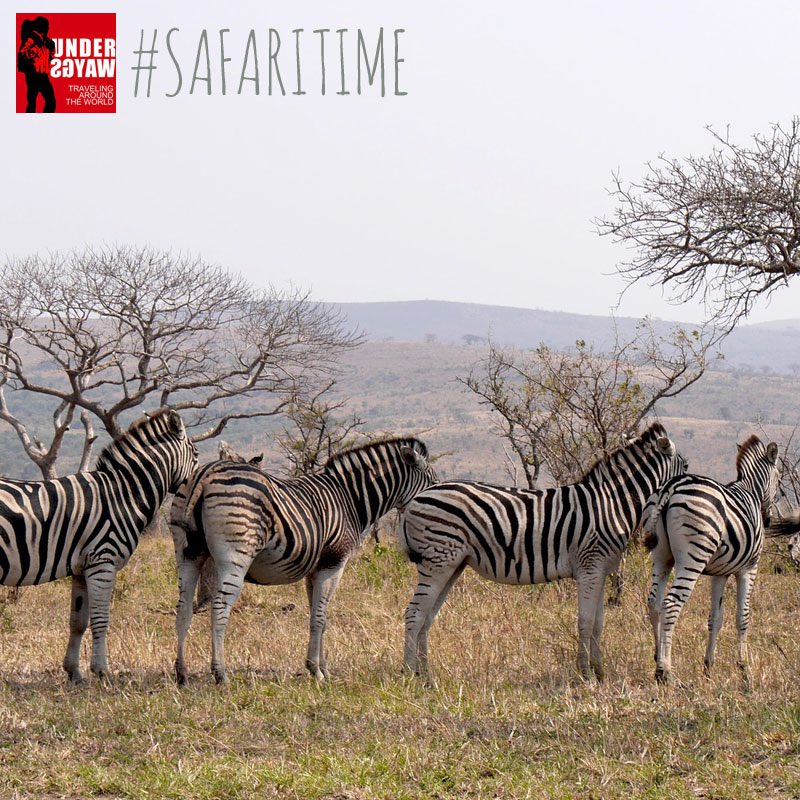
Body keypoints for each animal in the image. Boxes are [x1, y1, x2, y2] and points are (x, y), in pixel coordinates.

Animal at [0, 409, 197, 683]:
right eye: (196, 455)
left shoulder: (82, 569)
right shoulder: (103, 561)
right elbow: (101, 619)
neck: (123, 495)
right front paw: (102, 671)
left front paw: (74, 672)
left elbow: (78, 621)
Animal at [171, 437, 436, 685]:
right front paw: (317, 672)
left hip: (187, 555)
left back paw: (182, 673)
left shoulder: (314, 570)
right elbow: (320, 617)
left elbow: (317, 616)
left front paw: (320, 667)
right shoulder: (334, 563)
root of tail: (205, 474)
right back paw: (220, 674)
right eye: (433, 483)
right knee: (219, 607)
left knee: (183, 609)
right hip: (235, 555)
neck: (350, 498)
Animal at [400, 422, 686, 681]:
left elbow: (598, 624)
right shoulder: (590, 568)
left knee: (427, 615)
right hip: (437, 562)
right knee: (414, 613)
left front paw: (600, 672)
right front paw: (586, 675)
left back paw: (426, 675)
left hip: (452, 564)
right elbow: (585, 622)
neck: (611, 503)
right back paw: (411, 673)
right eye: (685, 467)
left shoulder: (601, 571)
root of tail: (416, 498)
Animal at [643, 435, 779, 688]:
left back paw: (657, 660)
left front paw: (708, 668)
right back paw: (665, 671)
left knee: (654, 603)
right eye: (779, 478)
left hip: (661, 556)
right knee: (670, 604)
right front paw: (745, 671)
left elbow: (715, 618)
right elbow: (742, 616)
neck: (751, 491)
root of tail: (671, 486)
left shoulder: (720, 573)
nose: (768, 519)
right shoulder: (749, 568)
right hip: (693, 557)